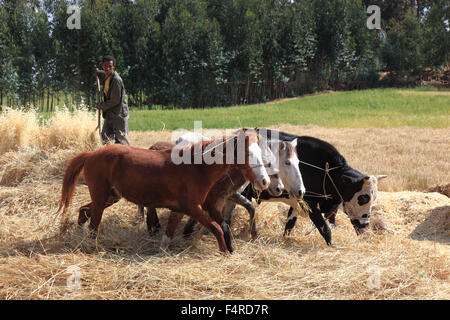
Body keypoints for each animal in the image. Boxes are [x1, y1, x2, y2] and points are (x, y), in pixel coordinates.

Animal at [54, 129, 268, 255]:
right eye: (248, 153)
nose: (264, 181)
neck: (197, 167)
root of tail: (91, 154)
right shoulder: (194, 207)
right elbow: (216, 227)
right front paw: (225, 251)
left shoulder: (183, 209)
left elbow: (171, 232)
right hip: (101, 198)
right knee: (94, 225)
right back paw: (91, 244)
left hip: (111, 196)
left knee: (84, 211)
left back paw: (79, 233)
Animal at [232, 129, 386, 245]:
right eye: (363, 198)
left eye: (374, 198)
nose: (365, 224)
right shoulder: (309, 202)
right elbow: (324, 228)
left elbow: (290, 225)